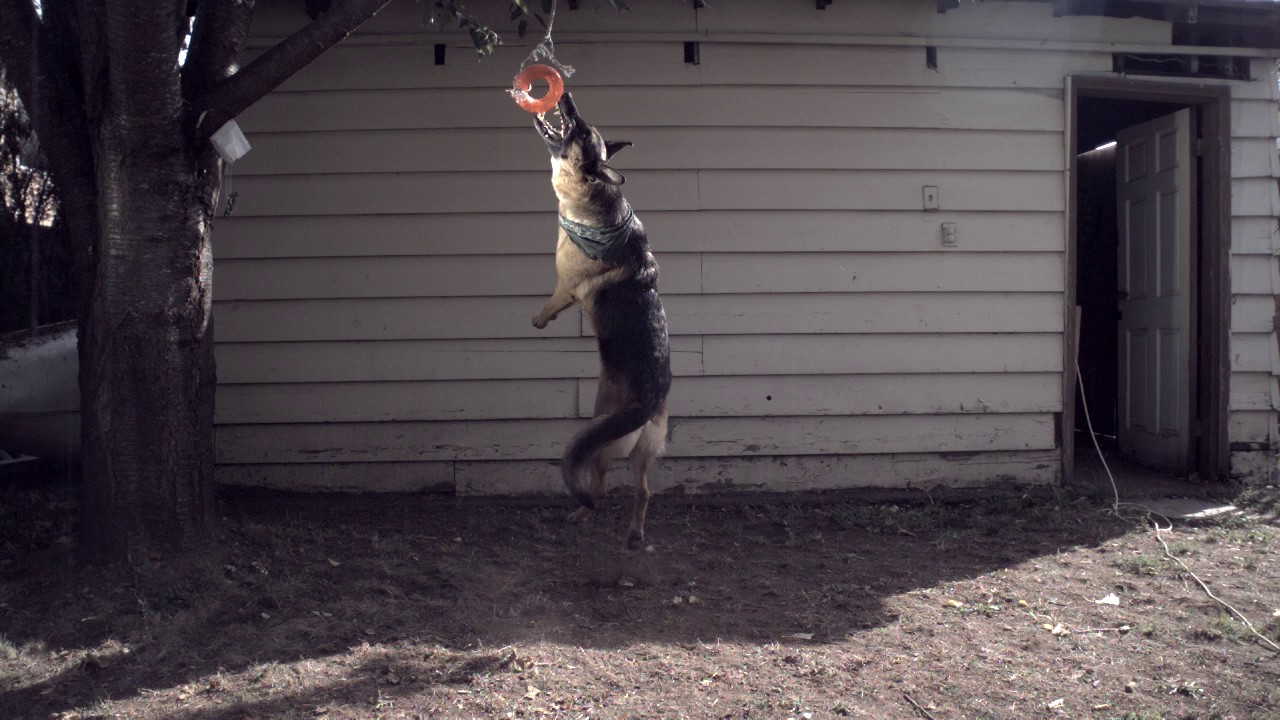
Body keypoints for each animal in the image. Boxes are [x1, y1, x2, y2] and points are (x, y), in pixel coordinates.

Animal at [529, 92, 675, 545]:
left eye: (581, 132)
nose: (567, 99)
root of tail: (649, 397)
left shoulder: (567, 286)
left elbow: (552, 302)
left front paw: (540, 320)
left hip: (603, 435)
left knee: (600, 485)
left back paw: (581, 513)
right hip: (645, 449)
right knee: (642, 491)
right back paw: (634, 534)